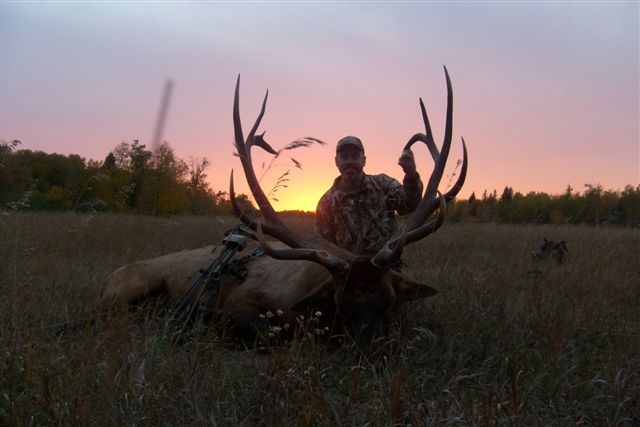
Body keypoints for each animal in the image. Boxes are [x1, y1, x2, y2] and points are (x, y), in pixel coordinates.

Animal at [100, 67, 468, 346]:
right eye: (340, 302)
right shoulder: (240, 305)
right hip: (131, 289)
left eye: (390, 300)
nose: (371, 351)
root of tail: (110, 277)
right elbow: (273, 334)